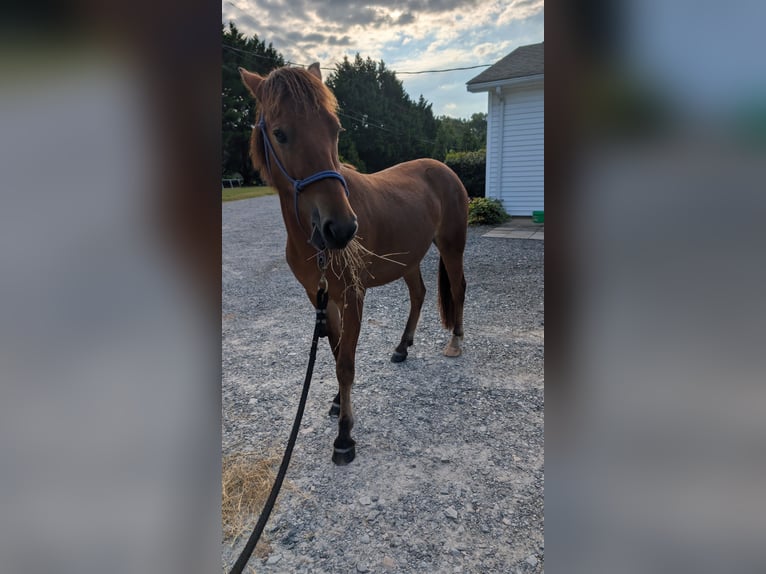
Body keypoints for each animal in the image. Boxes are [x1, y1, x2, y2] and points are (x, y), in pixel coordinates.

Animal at [239, 63, 468, 465]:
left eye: (335, 128)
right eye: (280, 133)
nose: (342, 228)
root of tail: (444, 168)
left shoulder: (352, 295)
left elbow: (346, 363)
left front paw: (345, 435)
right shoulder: (321, 298)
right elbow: (334, 351)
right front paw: (336, 403)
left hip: (451, 248)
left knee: (457, 289)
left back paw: (454, 341)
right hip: (408, 259)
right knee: (419, 294)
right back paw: (402, 347)